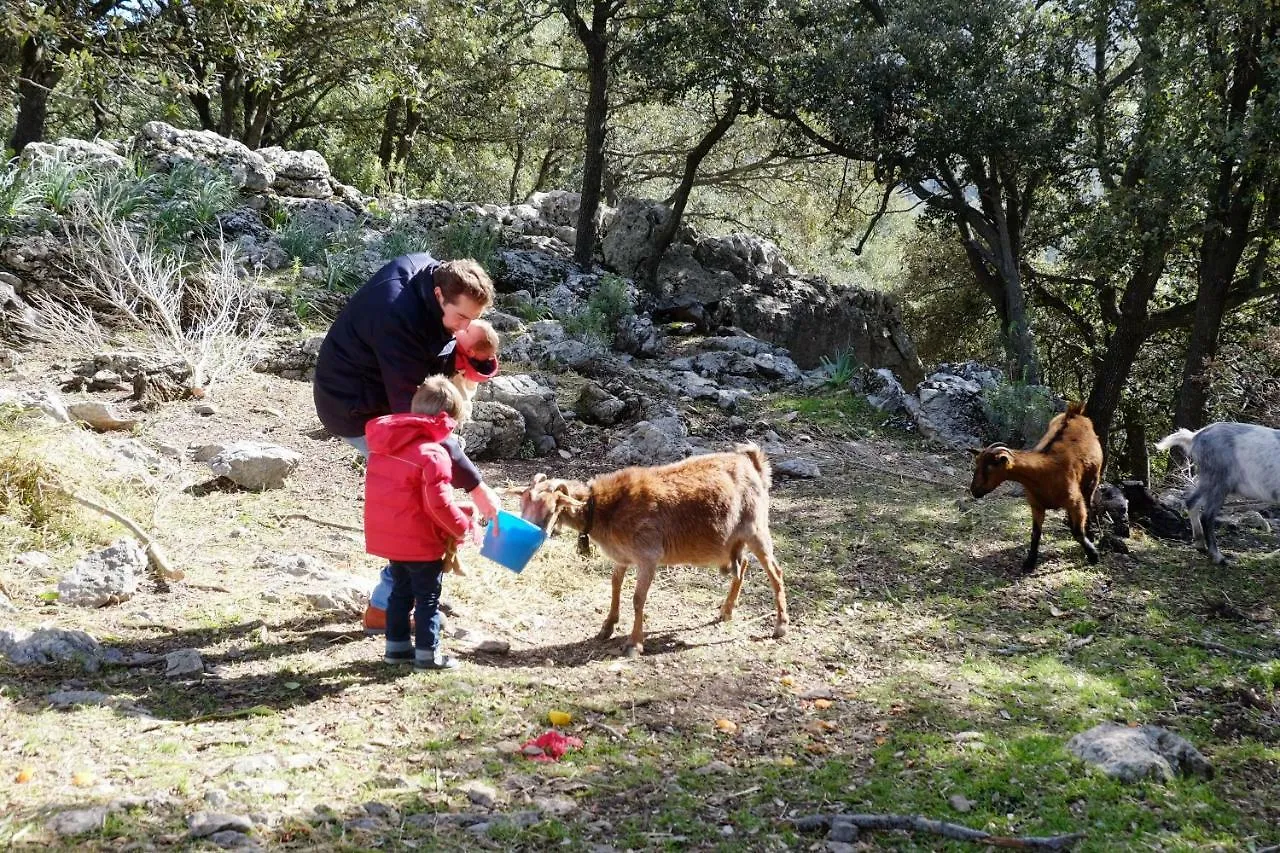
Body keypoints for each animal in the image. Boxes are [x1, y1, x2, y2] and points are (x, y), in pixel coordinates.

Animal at [514, 440, 783, 653]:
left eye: (550, 506)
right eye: (523, 502)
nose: (524, 528)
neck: (604, 508)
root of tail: (754, 464)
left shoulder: (648, 556)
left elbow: (637, 599)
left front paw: (634, 644)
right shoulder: (622, 557)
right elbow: (615, 587)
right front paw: (606, 628)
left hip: (756, 528)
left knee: (775, 572)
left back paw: (781, 625)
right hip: (732, 541)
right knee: (743, 564)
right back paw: (726, 611)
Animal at [967, 399, 1100, 571]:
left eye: (990, 466)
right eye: (977, 464)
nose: (974, 490)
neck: (1044, 473)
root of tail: (1074, 412)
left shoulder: (1075, 502)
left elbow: (1077, 532)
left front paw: (1093, 555)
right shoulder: (1036, 505)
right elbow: (1035, 534)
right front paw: (1029, 562)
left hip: (1093, 479)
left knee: (1089, 503)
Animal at [1157, 420, 1280, 563]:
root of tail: (1195, 437)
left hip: (1209, 479)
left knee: (1192, 502)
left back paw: (1200, 545)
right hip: (1219, 481)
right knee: (1207, 516)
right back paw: (1219, 558)